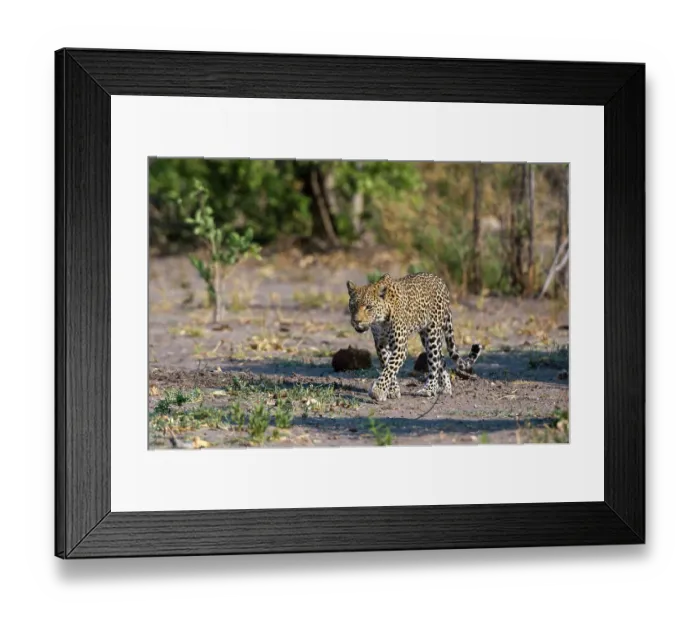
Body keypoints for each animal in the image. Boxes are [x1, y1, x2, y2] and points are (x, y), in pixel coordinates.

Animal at [346, 272, 483, 402]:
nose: (356, 321)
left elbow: (390, 368)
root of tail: (441, 282)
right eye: (352, 307)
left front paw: (377, 391)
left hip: (432, 333)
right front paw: (392, 391)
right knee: (441, 359)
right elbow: (387, 365)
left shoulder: (400, 347)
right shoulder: (381, 345)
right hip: (425, 336)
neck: (380, 321)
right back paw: (446, 388)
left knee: (434, 362)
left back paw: (429, 389)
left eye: (369, 307)